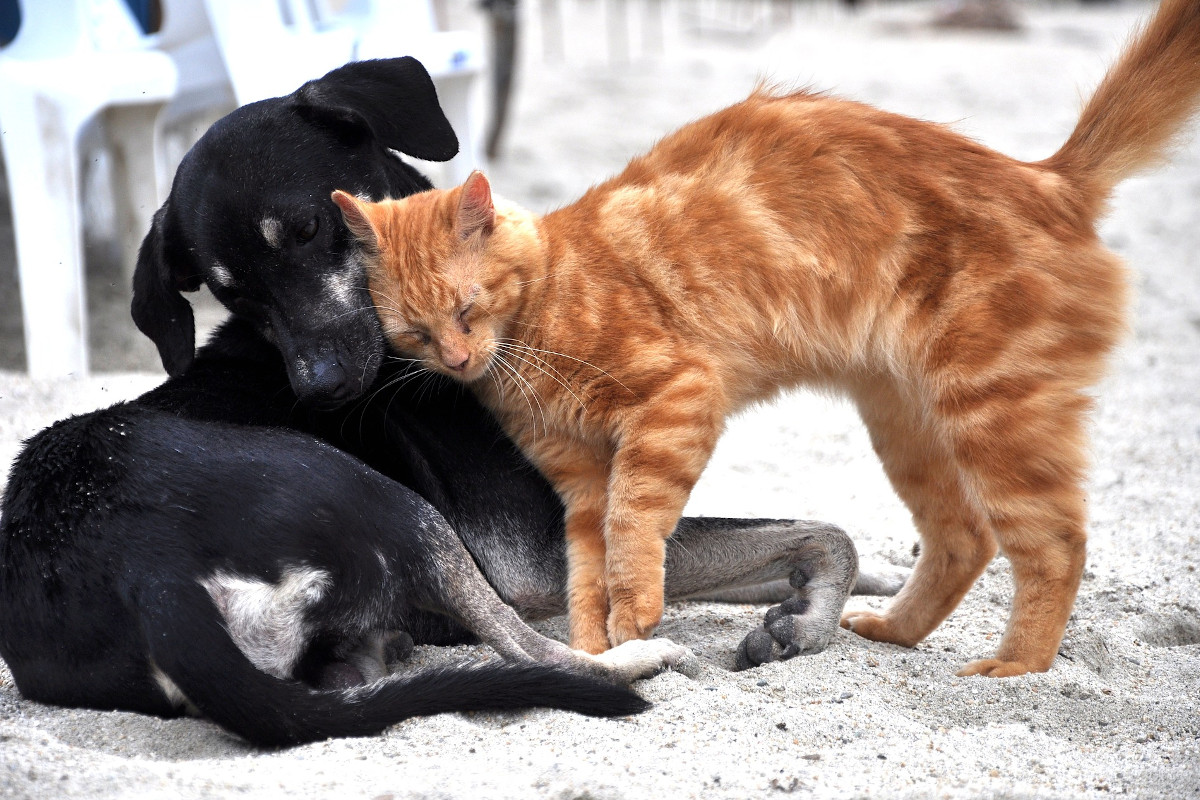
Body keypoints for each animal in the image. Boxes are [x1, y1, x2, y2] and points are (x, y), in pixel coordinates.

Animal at [0, 59, 883, 748]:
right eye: (231, 293)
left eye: (310, 227)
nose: (321, 387)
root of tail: (144, 576)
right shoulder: (537, 548)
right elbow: (822, 531)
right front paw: (811, 618)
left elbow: (808, 537)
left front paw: (842, 593)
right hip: (392, 503)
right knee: (539, 653)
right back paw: (641, 662)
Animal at [333, 0, 1200, 676]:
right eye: (415, 331)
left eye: (469, 307)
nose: (456, 358)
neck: (540, 319)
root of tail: (1048, 177)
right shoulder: (577, 486)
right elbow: (588, 573)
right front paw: (603, 648)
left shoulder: (674, 403)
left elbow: (633, 529)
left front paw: (634, 617)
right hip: (910, 424)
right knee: (964, 538)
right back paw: (892, 631)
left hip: (994, 414)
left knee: (1055, 544)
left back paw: (1016, 667)